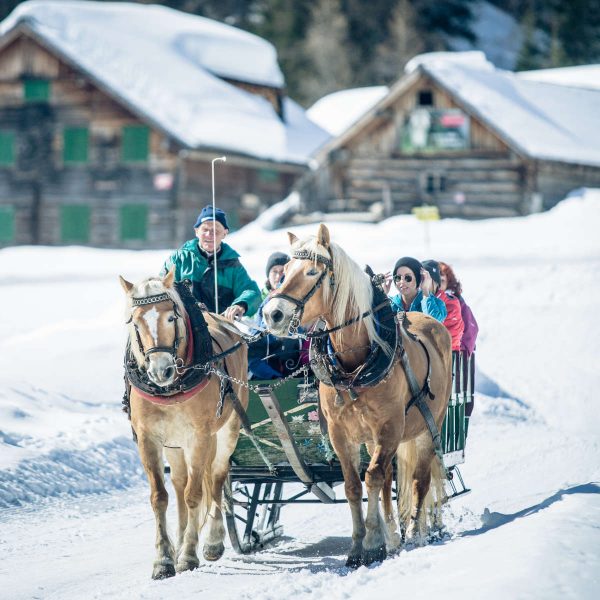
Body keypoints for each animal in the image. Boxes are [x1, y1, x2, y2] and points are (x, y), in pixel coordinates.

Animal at [119, 270, 246, 580]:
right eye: (135, 322)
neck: (171, 390)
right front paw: (164, 559)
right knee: (179, 483)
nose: (160, 371)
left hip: (226, 431)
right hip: (175, 444)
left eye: (171, 317)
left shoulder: (200, 436)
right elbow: (160, 497)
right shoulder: (148, 439)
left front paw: (189, 555)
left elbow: (195, 494)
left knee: (216, 478)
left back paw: (212, 541)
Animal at [262, 224, 450, 568]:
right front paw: (359, 545)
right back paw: (394, 535)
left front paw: (374, 544)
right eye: (285, 271)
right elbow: (353, 485)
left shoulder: (389, 429)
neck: (354, 367)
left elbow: (372, 478)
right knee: (389, 478)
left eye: (312, 271)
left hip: (426, 429)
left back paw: (416, 533)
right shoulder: (341, 434)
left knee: (419, 479)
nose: (272, 314)